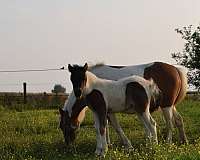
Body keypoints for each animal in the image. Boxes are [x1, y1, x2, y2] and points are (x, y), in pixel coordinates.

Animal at [59, 62, 188, 149]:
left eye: (65, 126)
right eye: (61, 127)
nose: (68, 145)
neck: (92, 84)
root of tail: (175, 69)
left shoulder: (106, 110)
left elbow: (113, 126)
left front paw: (122, 145)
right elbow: (104, 126)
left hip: (166, 106)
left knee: (169, 124)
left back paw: (167, 143)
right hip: (169, 106)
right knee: (178, 120)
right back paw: (183, 141)